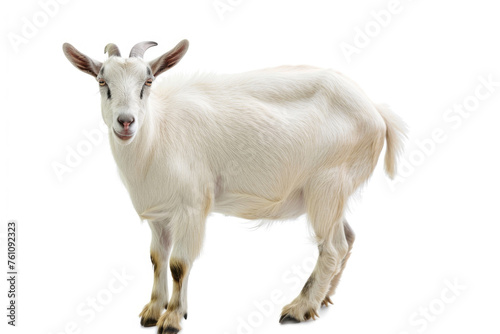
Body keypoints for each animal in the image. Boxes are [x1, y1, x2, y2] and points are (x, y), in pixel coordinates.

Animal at [62, 39, 406, 334]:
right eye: (102, 82)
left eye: (147, 82)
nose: (126, 121)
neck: (157, 135)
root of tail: (376, 111)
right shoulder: (161, 214)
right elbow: (157, 259)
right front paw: (152, 311)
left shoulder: (191, 205)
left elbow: (178, 264)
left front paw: (172, 318)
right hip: (333, 193)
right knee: (347, 237)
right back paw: (321, 300)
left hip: (328, 184)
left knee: (333, 247)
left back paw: (299, 308)